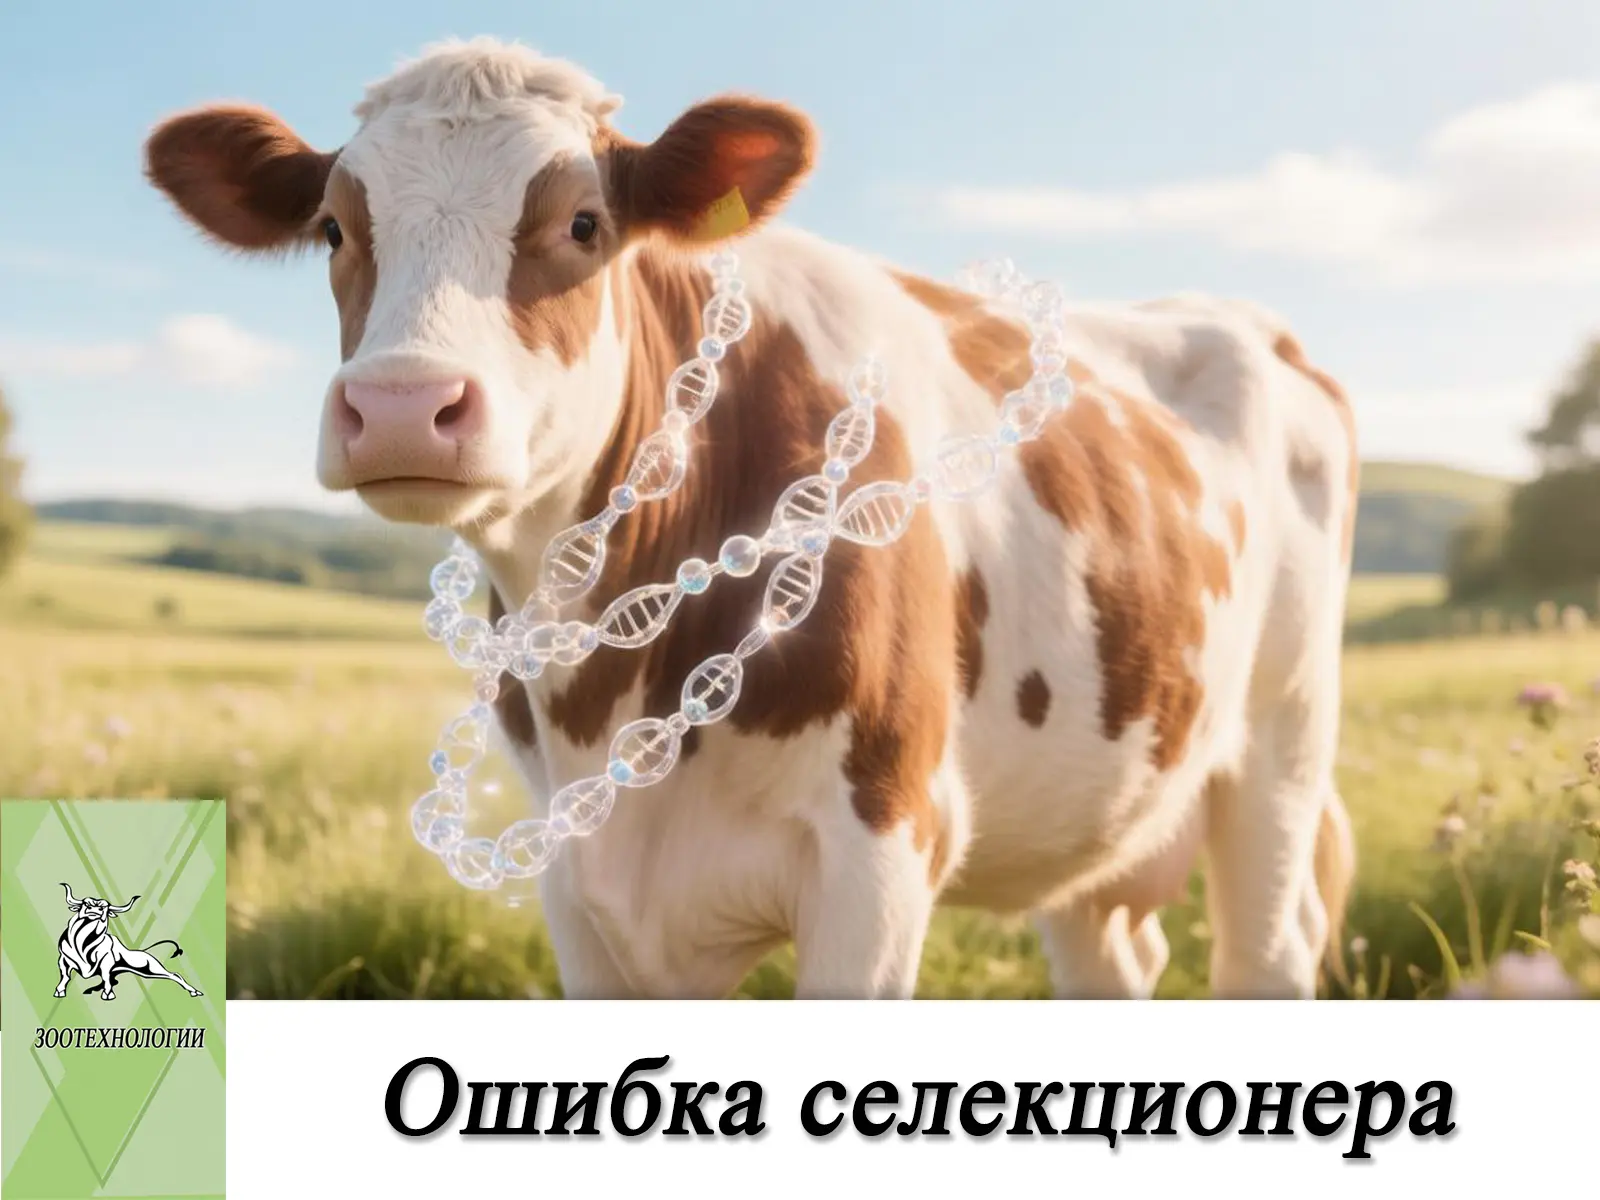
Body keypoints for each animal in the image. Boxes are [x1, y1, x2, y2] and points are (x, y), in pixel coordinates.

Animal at [55, 883, 203, 1001]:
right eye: (86, 903)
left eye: (105, 907)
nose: (96, 909)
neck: (83, 943)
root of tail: (145, 953)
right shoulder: (63, 960)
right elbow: (65, 976)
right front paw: (59, 991)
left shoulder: (106, 962)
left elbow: (105, 976)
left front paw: (108, 993)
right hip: (147, 972)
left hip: (152, 968)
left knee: (175, 975)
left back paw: (194, 991)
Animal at [143, 38, 1358, 999]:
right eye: (335, 229)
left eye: (583, 221)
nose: (401, 405)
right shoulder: (581, 893)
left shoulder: (880, 854)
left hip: (1281, 748)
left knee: (1268, 947)